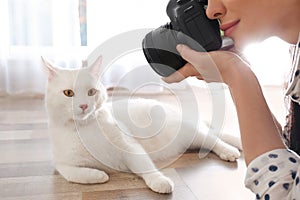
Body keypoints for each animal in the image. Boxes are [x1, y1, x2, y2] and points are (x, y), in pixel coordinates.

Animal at [41, 55, 241, 194]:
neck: (84, 130)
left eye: (91, 92)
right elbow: (73, 174)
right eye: (68, 93)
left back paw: (229, 151)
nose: (83, 105)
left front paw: (159, 182)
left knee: (214, 139)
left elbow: (145, 166)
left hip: (191, 132)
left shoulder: (130, 147)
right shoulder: (61, 163)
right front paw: (99, 175)